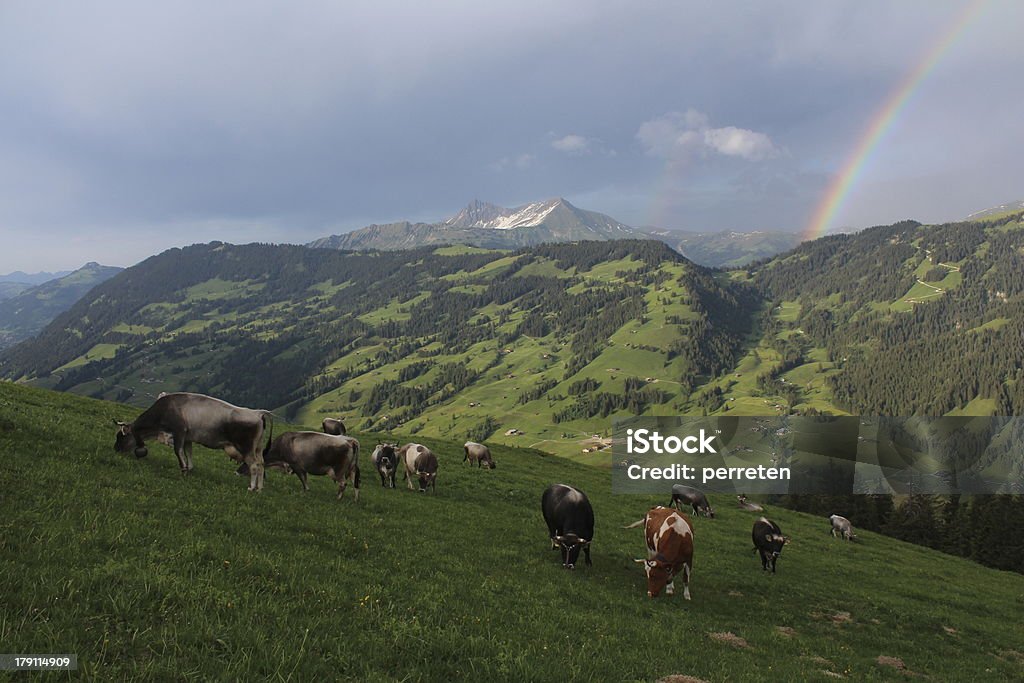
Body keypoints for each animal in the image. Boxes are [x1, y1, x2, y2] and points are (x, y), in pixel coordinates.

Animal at [113, 389, 272, 491]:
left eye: (120, 436)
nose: (115, 449)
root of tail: (258, 413)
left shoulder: (179, 431)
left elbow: (178, 451)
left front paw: (183, 470)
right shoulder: (188, 437)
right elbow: (188, 452)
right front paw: (189, 468)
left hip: (246, 448)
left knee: (254, 466)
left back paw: (251, 487)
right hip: (258, 448)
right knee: (261, 464)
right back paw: (260, 488)